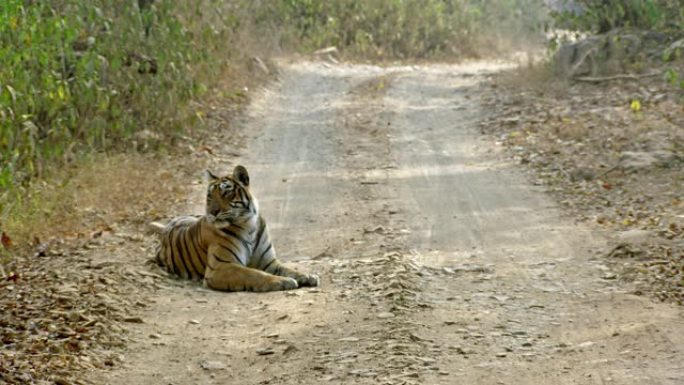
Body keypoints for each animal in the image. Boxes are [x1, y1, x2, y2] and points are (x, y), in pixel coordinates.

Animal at [156, 165, 322, 292]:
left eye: (226, 192)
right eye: (209, 196)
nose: (212, 212)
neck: (248, 224)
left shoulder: (268, 262)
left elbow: (290, 269)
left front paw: (308, 276)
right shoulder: (220, 267)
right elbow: (254, 274)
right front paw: (282, 281)